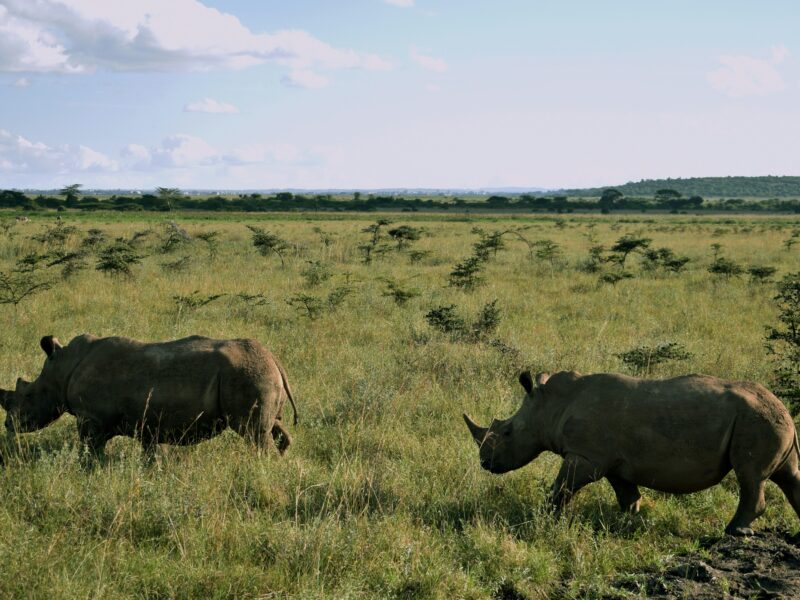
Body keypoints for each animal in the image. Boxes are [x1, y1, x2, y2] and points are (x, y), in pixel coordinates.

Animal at [0, 334, 297, 457]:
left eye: (29, 396)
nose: (8, 425)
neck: (63, 369)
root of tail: (274, 359)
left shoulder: (91, 419)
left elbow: (89, 451)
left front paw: (90, 471)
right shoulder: (149, 425)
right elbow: (151, 455)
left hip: (246, 374)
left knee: (254, 434)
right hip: (258, 374)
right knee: (272, 428)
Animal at [463, 371, 800, 536]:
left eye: (508, 433)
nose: (484, 463)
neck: (551, 405)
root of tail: (785, 409)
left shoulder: (585, 456)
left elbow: (560, 488)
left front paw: (543, 519)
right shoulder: (611, 462)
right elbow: (626, 493)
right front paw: (629, 521)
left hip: (755, 421)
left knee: (750, 477)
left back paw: (734, 532)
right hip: (768, 420)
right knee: (788, 476)